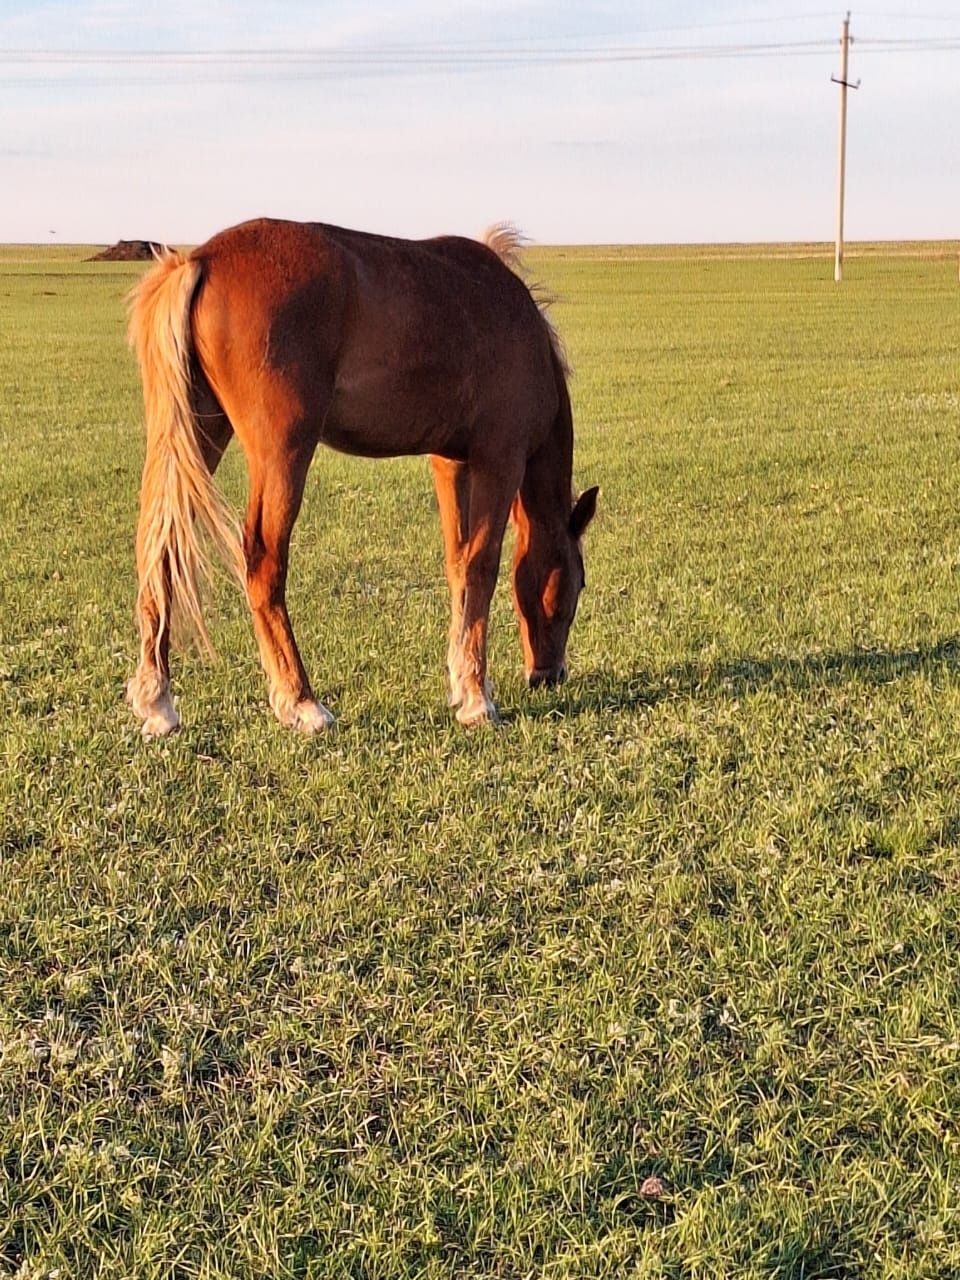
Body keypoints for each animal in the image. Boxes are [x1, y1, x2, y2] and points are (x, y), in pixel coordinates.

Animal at [124, 216, 599, 737]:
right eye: (578, 583)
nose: (549, 675)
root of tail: (203, 258)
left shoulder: (452, 464)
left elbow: (458, 564)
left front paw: (461, 683)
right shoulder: (499, 460)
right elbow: (481, 565)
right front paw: (477, 699)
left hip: (198, 435)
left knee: (162, 548)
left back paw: (159, 701)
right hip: (282, 452)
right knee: (263, 561)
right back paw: (302, 701)